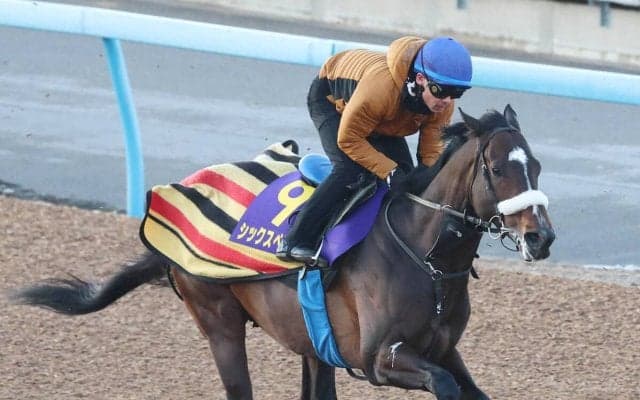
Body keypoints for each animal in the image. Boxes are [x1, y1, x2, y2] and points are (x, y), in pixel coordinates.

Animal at [10, 105, 554, 400]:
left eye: (537, 166)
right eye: (498, 170)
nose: (541, 237)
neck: (426, 257)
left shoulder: (443, 350)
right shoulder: (381, 358)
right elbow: (440, 384)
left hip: (311, 341)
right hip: (219, 322)